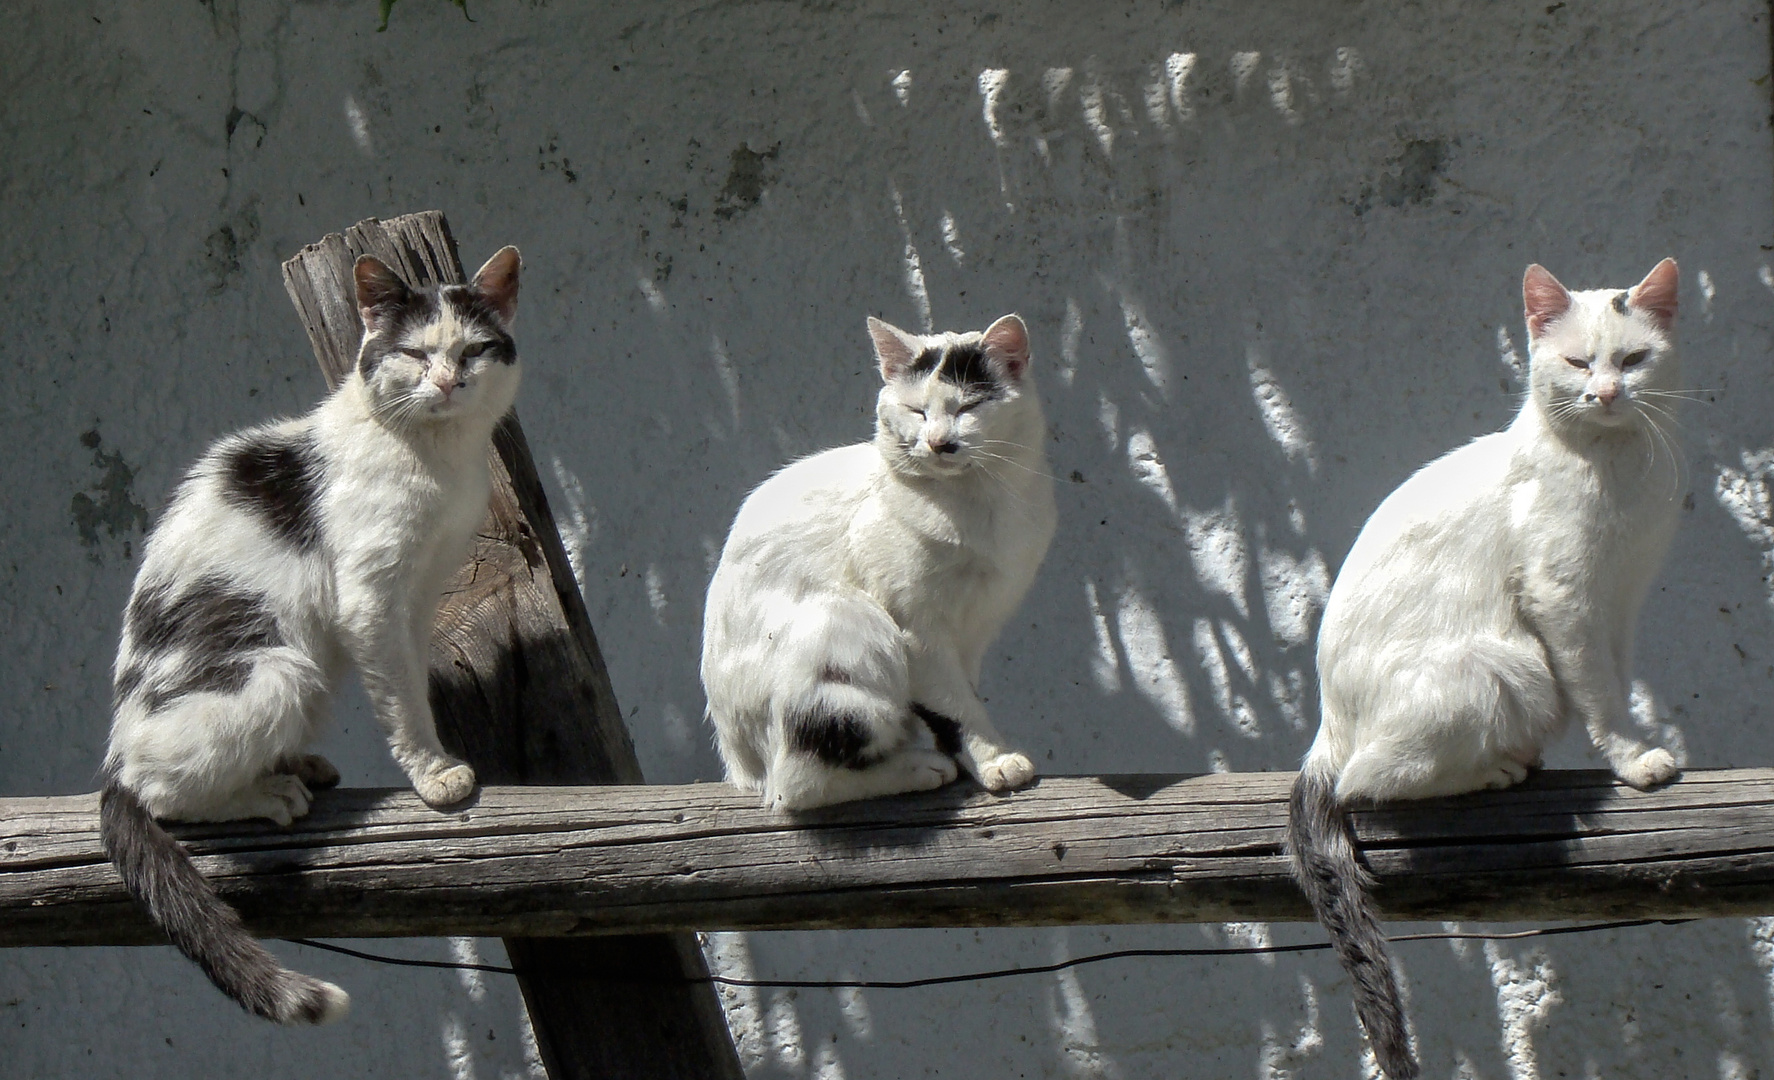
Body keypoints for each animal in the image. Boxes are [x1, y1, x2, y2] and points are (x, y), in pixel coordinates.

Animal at [100, 248, 521, 1021]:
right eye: (415, 354)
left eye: (474, 350)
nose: (448, 381)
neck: (439, 457)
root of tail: (113, 756)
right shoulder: (370, 599)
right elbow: (402, 699)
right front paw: (433, 771)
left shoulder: (420, 595)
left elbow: (411, 678)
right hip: (277, 670)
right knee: (160, 793)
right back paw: (267, 794)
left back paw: (295, 764)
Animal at [698, 315, 1050, 805]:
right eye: (917, 411)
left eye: (969, 406)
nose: (939, 442)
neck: (978, 503)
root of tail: (739, 766)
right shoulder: (916, 630)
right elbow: (955, 705)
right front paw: (994, 759)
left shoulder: (975, 631)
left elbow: (964, 693)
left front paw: (974, 759)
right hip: (846, 623)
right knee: (794, 787)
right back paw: (917, 768)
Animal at [1284, 257, 1681, 1071]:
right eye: (1578, 364)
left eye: (1632, 360)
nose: (1606, 394)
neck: (1616, 466)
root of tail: (1326, 728)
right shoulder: (1565, 600)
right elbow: (1599, 691)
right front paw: (1633, 760)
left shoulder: (1621, 602)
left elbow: (1618, 678)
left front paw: (1633, 743)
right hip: (1504, 666)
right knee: (1364, 781)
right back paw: (1495, 768)